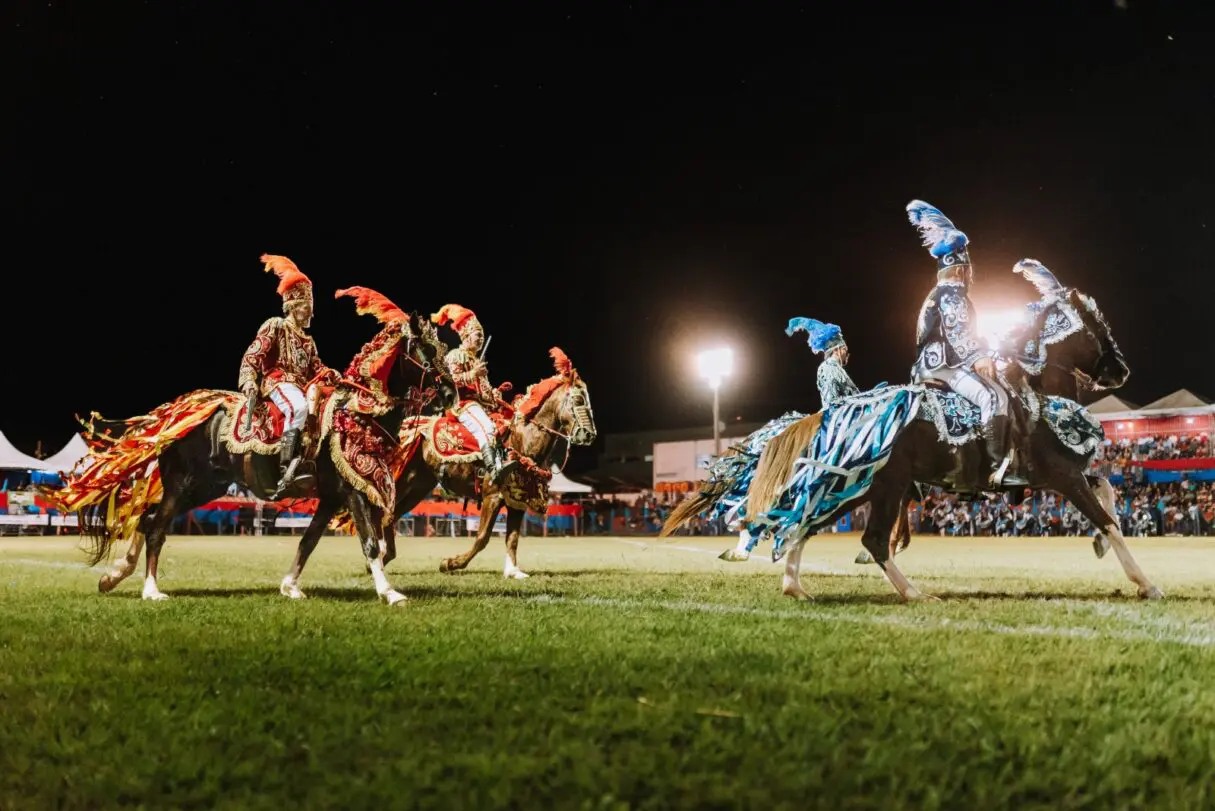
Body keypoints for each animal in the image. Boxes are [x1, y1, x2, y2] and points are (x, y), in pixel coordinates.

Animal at [49, 288, 454, 605]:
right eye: (424, 349)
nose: (450, 393)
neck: (359, 411)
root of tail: (183, 410)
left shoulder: (331, 497)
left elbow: (309, 541)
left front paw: (290, 585)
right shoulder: (353, 490)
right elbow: (371, 543)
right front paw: (390, 592)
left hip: (204, 487)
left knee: (147, 518)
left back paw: (114, 575)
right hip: (183, 484)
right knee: (155, 529)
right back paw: (150, 589)